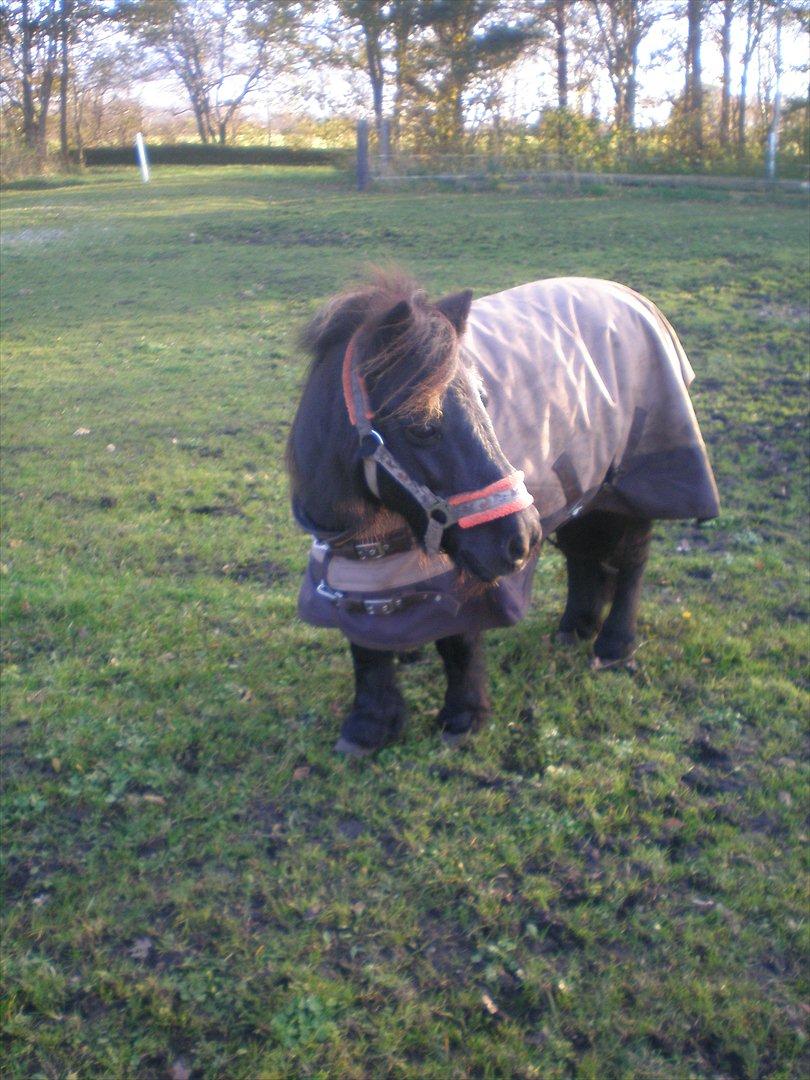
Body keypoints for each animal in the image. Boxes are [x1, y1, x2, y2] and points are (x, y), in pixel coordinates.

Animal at [287, 271, 719, 756]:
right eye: (421, 426)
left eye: (485, 401)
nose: (523, 536)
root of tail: (634, 299)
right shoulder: (356, 566)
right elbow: (366, 647)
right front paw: (370, 725)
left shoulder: (463, 569)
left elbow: (459, 641)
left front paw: (463, 716)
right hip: (583, 488)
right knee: (584, 556)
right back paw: (576, 626)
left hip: (629, 485)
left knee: (631, 561)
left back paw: (613, 644)